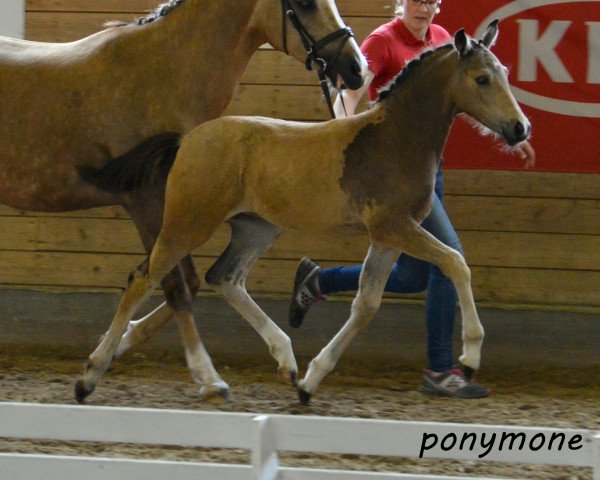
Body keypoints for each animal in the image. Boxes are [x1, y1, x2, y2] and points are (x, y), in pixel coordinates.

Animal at [0, 0, 366, 398]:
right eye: (304, 4)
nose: (357, 68)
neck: (166, 71)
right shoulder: (148, 202)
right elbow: (173, 283)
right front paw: (207, 376)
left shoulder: (177, 207)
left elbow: (185, 281)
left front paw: (121, 342)